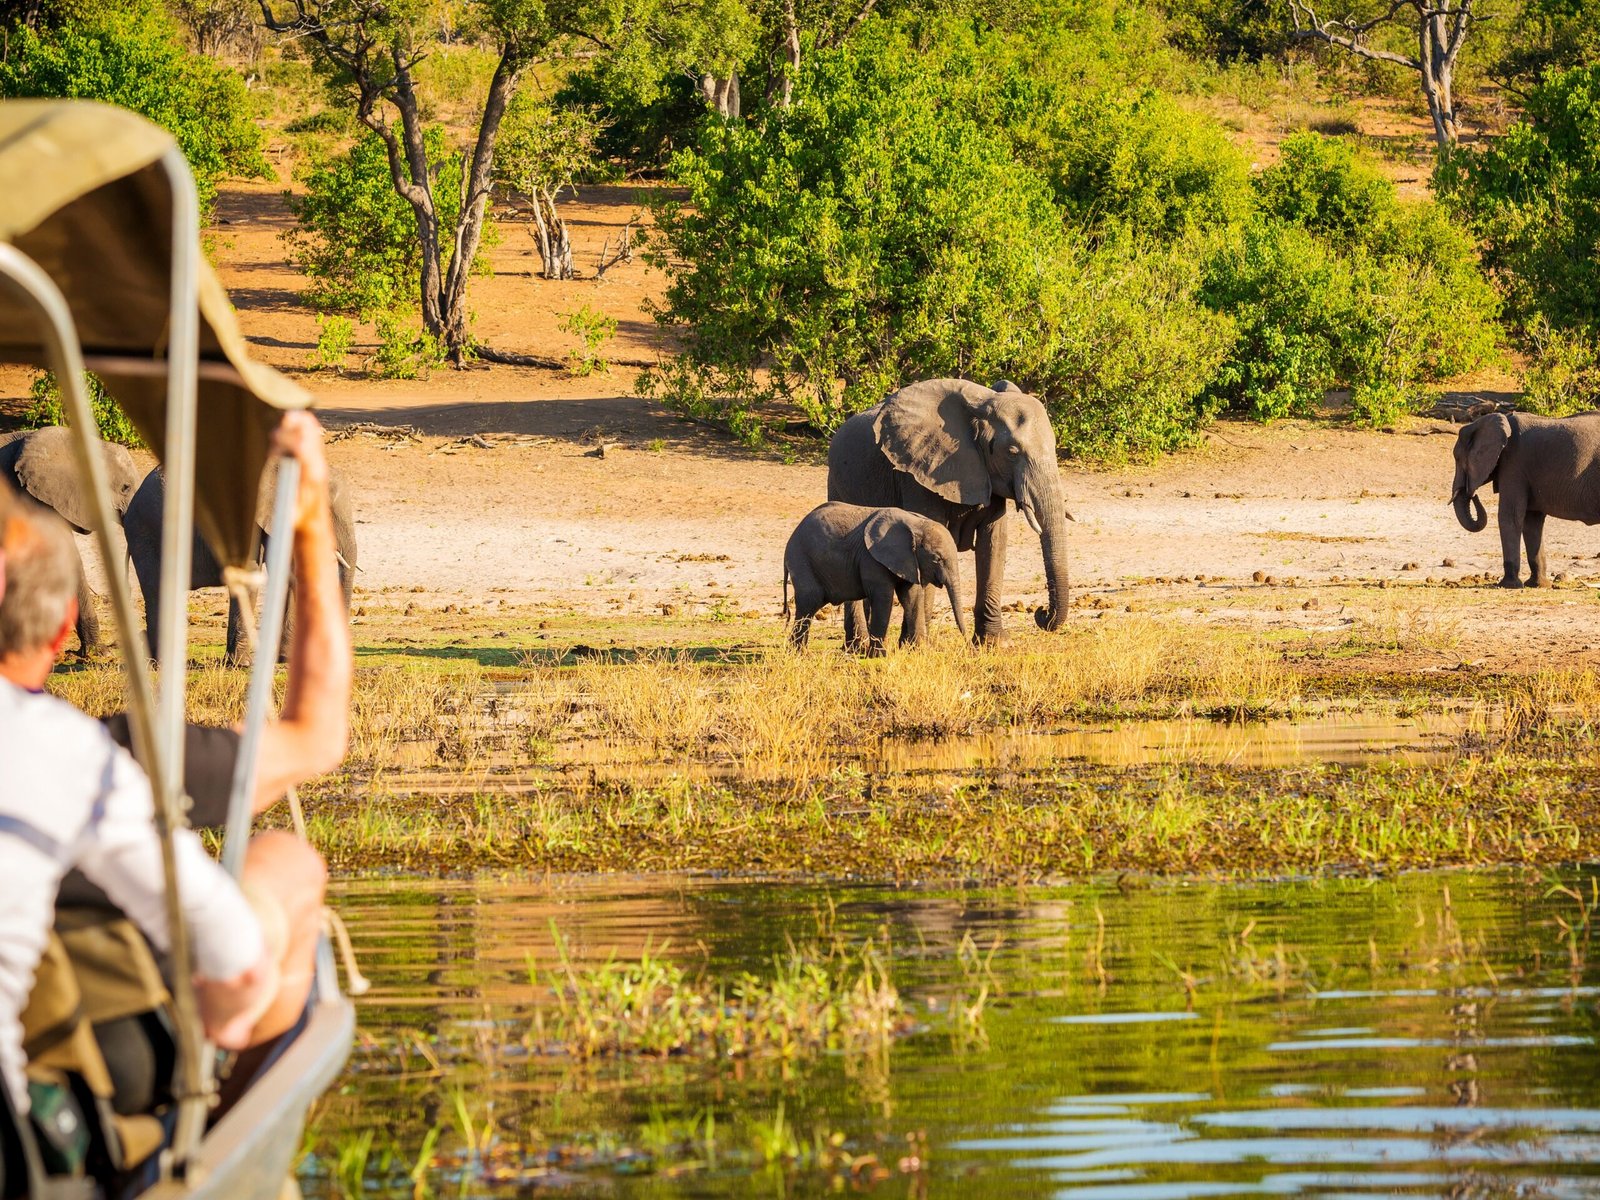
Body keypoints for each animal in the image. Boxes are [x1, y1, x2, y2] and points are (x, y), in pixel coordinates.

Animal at [783, 503, 969, 654]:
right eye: (937, 559)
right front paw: (878, 656)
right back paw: (799, 654)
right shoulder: (871, 559)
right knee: (809, 602)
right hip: (801, 560)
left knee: (811, 605)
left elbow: (912, 597)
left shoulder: (909, 560)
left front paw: (919, 653)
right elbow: (883, 598)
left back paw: (798, 652)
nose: (968, 645)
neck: (915, 524)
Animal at [827, 378, 1071, 647]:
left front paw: (995, 644)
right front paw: (917, 646)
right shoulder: (916, 474)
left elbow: (994, 542)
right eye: (1012, 452)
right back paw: (857, 646)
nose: (1041, 613)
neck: (981, 405)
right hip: (836, 484)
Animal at [1451, 410, 1600, 588]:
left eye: (1457, 458)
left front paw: (1508, 585)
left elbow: (1509, 515)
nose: (1473, 493)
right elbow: (1532, 522)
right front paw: (1537, 585)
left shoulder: (1513, 464)